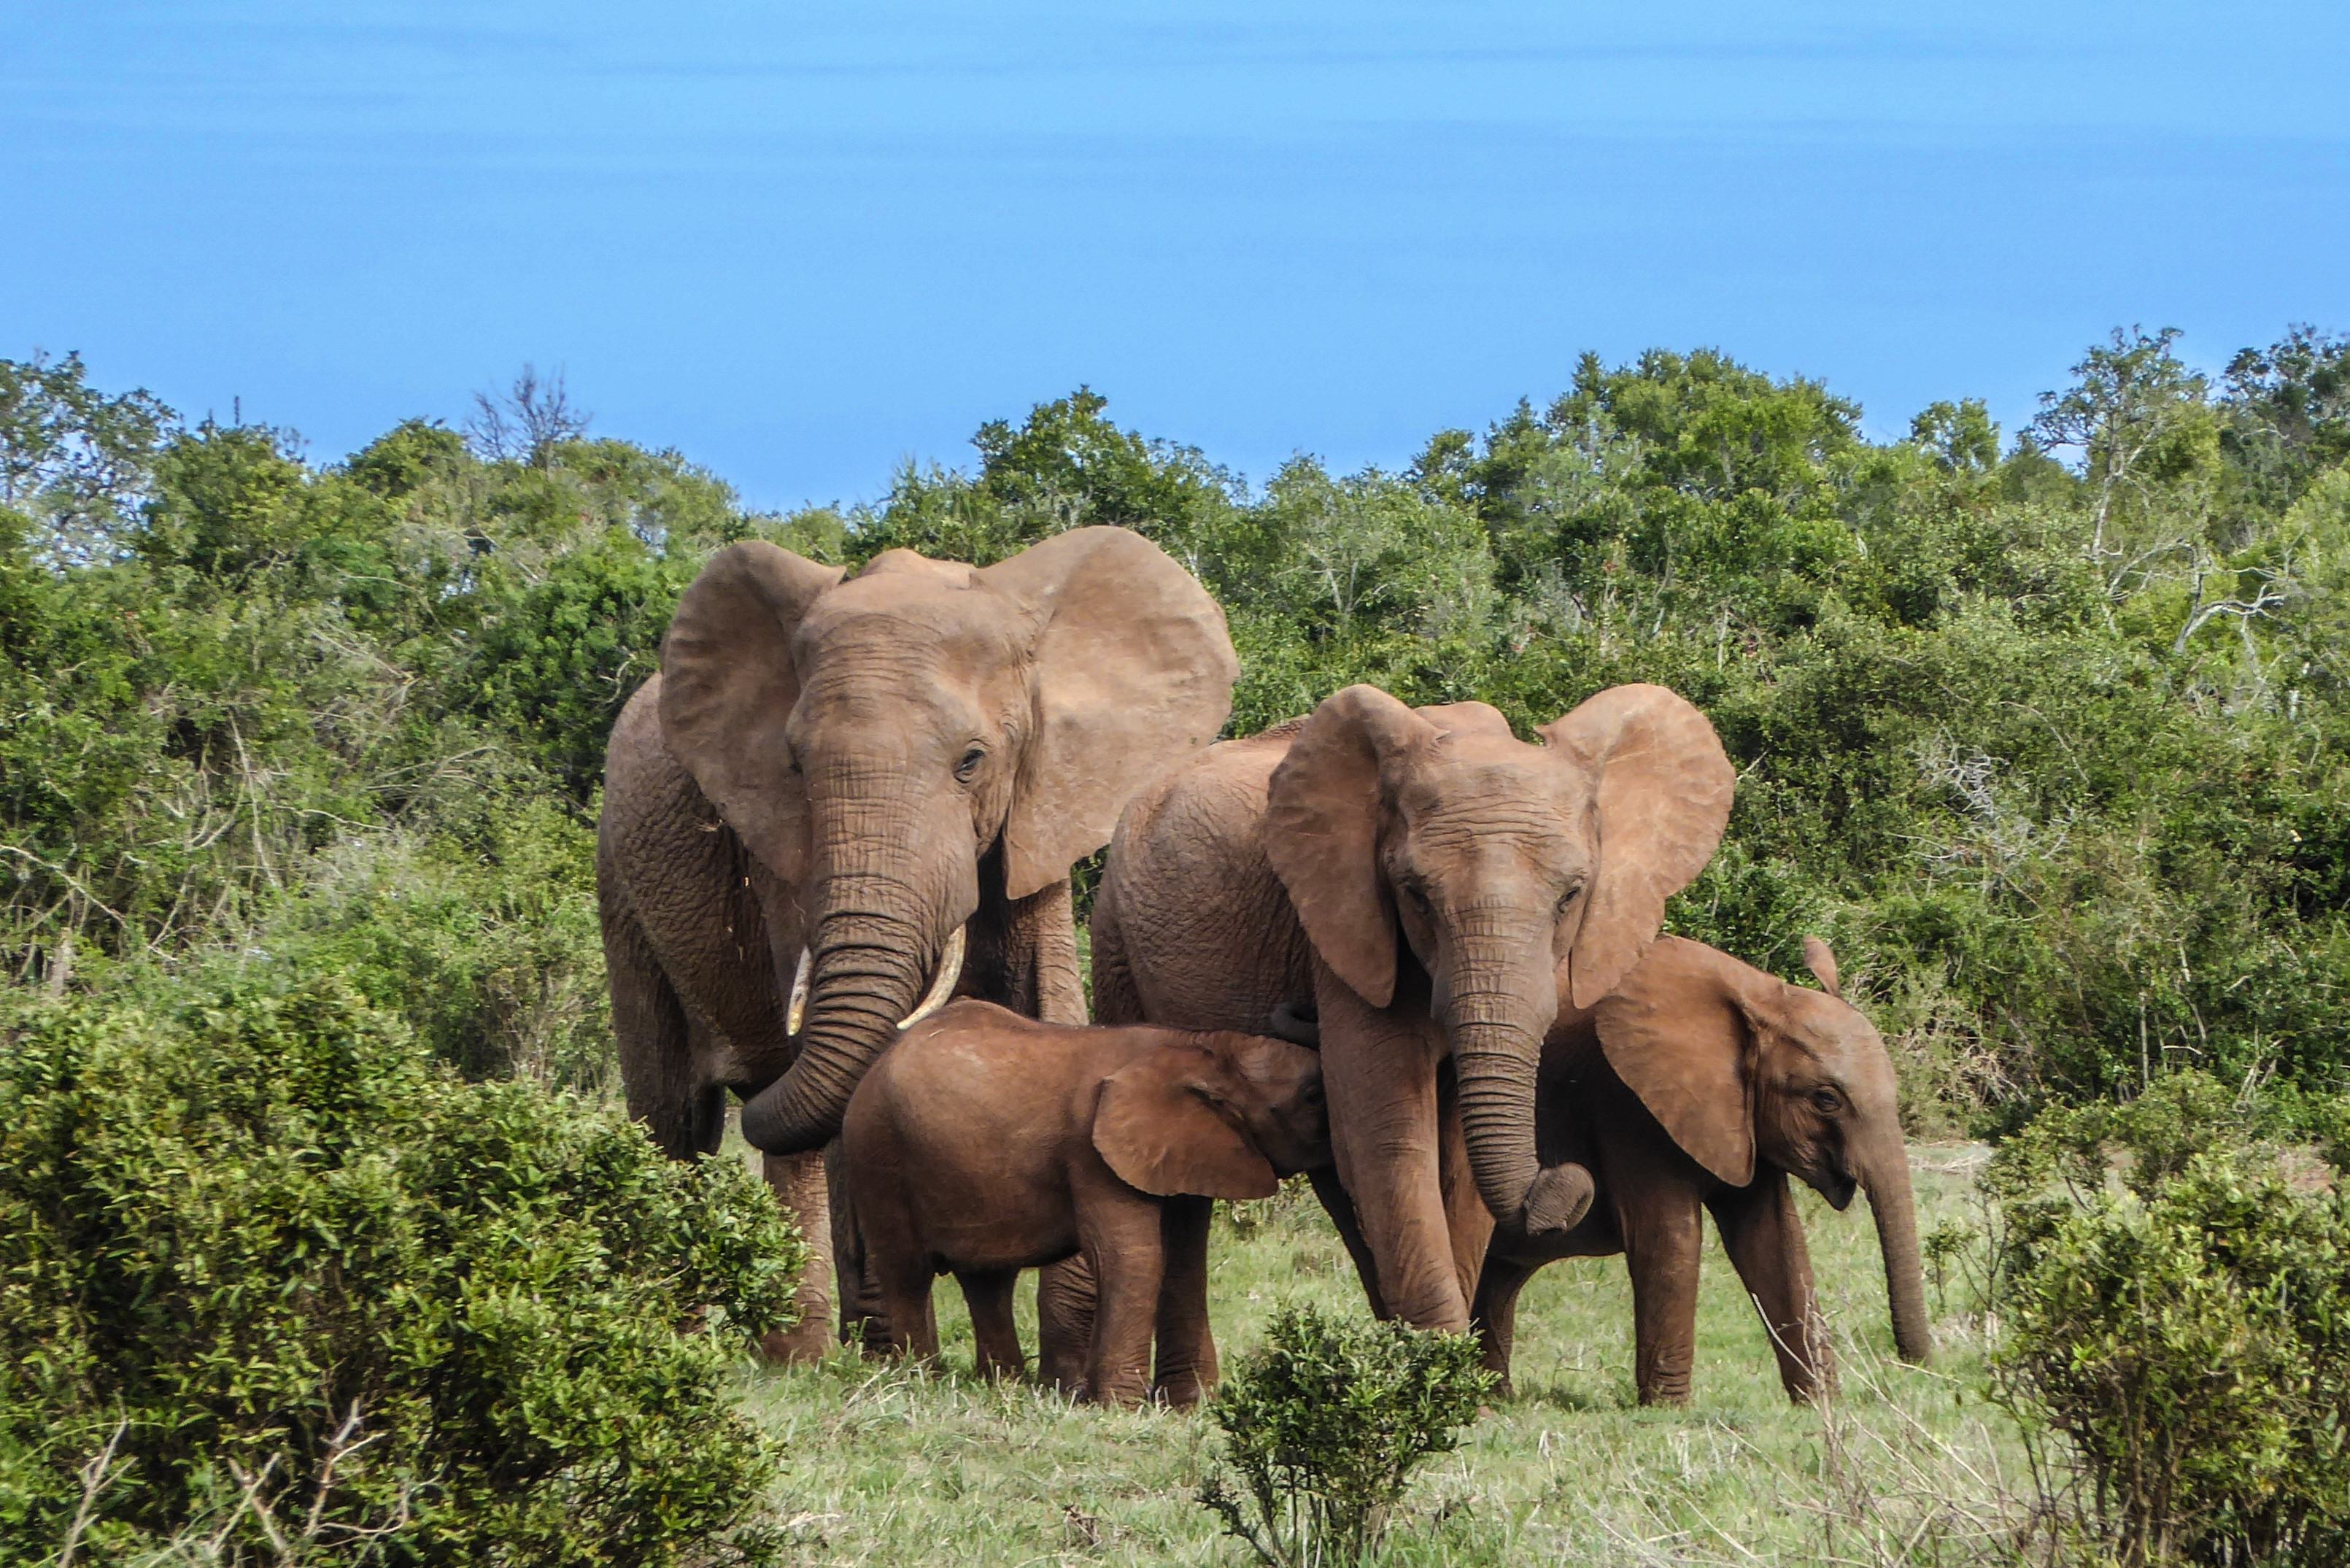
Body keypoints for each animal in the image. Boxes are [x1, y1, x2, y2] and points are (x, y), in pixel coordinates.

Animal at [597, 531, 1240, 1363]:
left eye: (971, 761)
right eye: (795, 766)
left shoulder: (1040, 808)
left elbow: (1049, 1004)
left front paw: (1065, 1364)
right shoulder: (780, 847)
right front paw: (893, 1354)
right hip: (619, 880)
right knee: (675, 1119)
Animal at [846, 1001, 1334, 1401]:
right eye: (1312, 1096)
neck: (1201, 1047)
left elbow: (1181, 1261)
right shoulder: (1092, 1150)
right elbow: (1132, 1257)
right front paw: (1119, 1407)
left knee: (987, 1282)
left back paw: (1003, 1387)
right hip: (877, 1151)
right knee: (907, 1273)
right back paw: (919, 1381)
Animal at [1090, 681, 1739, 1335]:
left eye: (1570, 896)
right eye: (1415, 895)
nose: (1566, 1180)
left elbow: (1452, 1162)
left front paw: (1443, 1359)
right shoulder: (1348, 927)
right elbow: (1389, 1138)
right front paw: (1443, 1360)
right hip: (1114, 935)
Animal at [1475, 940, 1936, 1401]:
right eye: (1826, 1099)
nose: (1911, 1364)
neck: (1761, 996)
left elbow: (1774, 1239)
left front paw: (1822, 1404)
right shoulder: (1627, 1103)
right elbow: (1670, 1237)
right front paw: (1666, 1411)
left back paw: (1497, 1397)